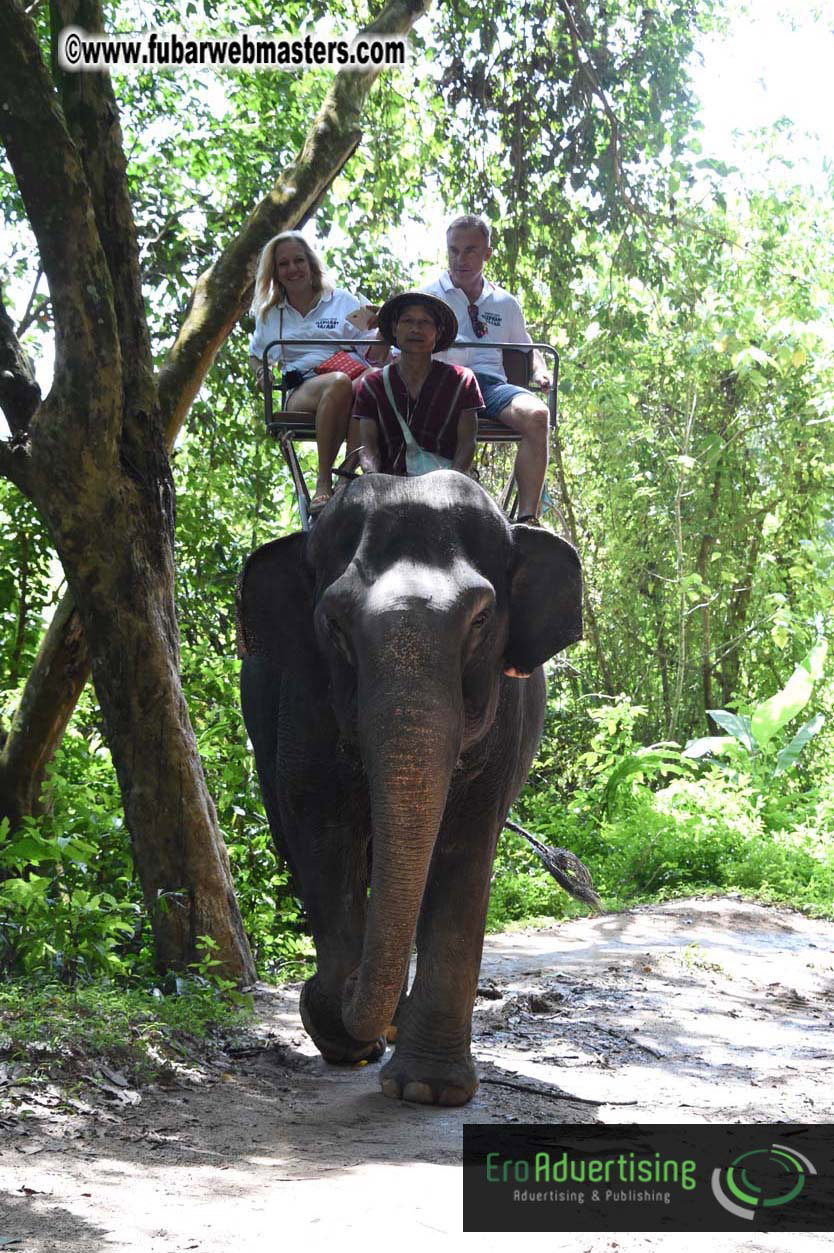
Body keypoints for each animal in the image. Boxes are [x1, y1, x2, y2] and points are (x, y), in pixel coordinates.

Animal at [237, 471, 582, 1106]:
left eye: (480, 619)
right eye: (334, 623)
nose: (320, 992)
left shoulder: (507, 717)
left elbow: (464, 848)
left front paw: (428, 1090)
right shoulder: (303, 703)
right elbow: (320, 833)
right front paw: (336, 1021)